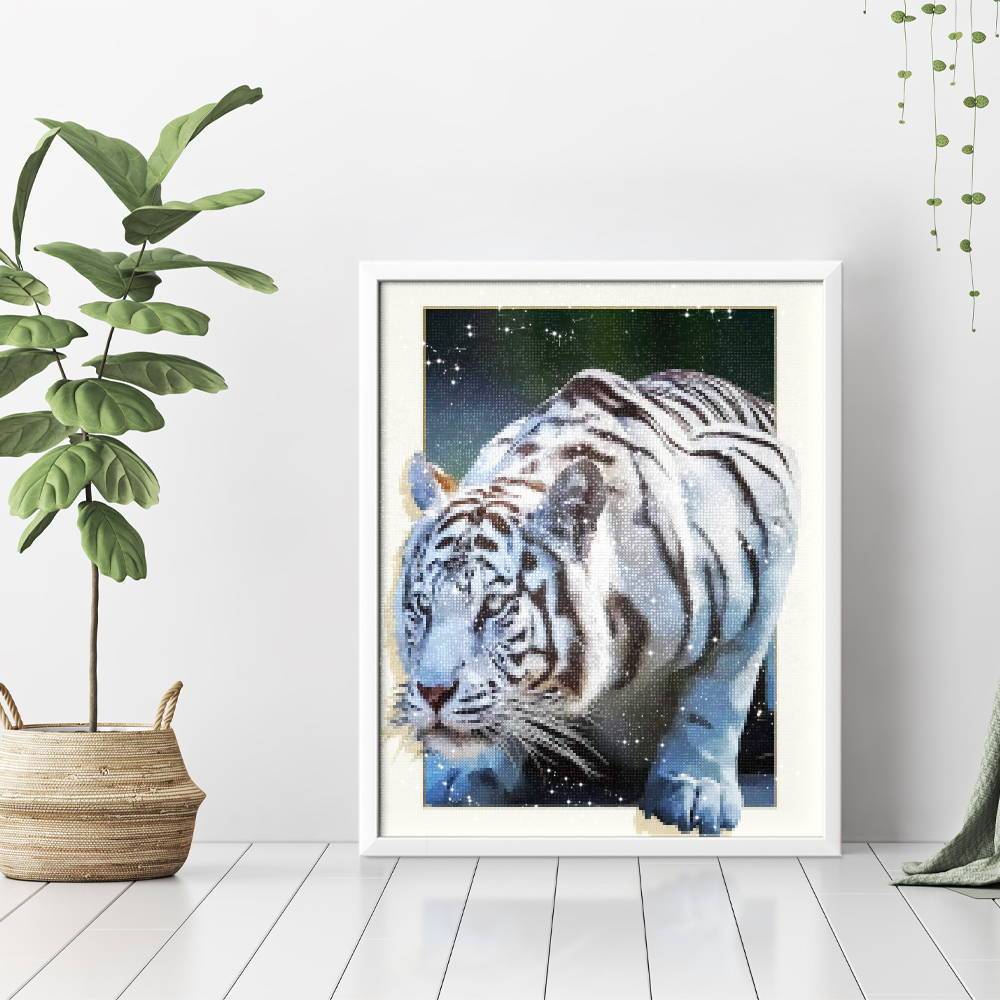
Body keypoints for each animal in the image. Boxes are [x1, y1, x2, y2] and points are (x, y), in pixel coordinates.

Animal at [394, 367, 799, 835]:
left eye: (494, 607)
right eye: (422, 605)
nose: (432, 692)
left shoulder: (768, 499)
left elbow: (719, 689)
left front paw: (696, 788)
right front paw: (469, 771)